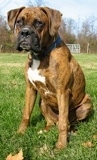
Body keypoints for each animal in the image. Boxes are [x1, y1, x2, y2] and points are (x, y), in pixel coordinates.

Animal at [7, 6, 92, 149]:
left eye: (39, 23)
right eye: (19, 22)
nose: (25, 32)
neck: (40, 55)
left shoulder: (62, 92)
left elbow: (63, 122)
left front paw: (61, 145)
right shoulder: (30, 89)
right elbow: (26, 115)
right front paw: (19, 134)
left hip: (87, 104)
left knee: (69, 123)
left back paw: (71, 131)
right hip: (42, 102)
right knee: (51, 122)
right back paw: (45, 130)